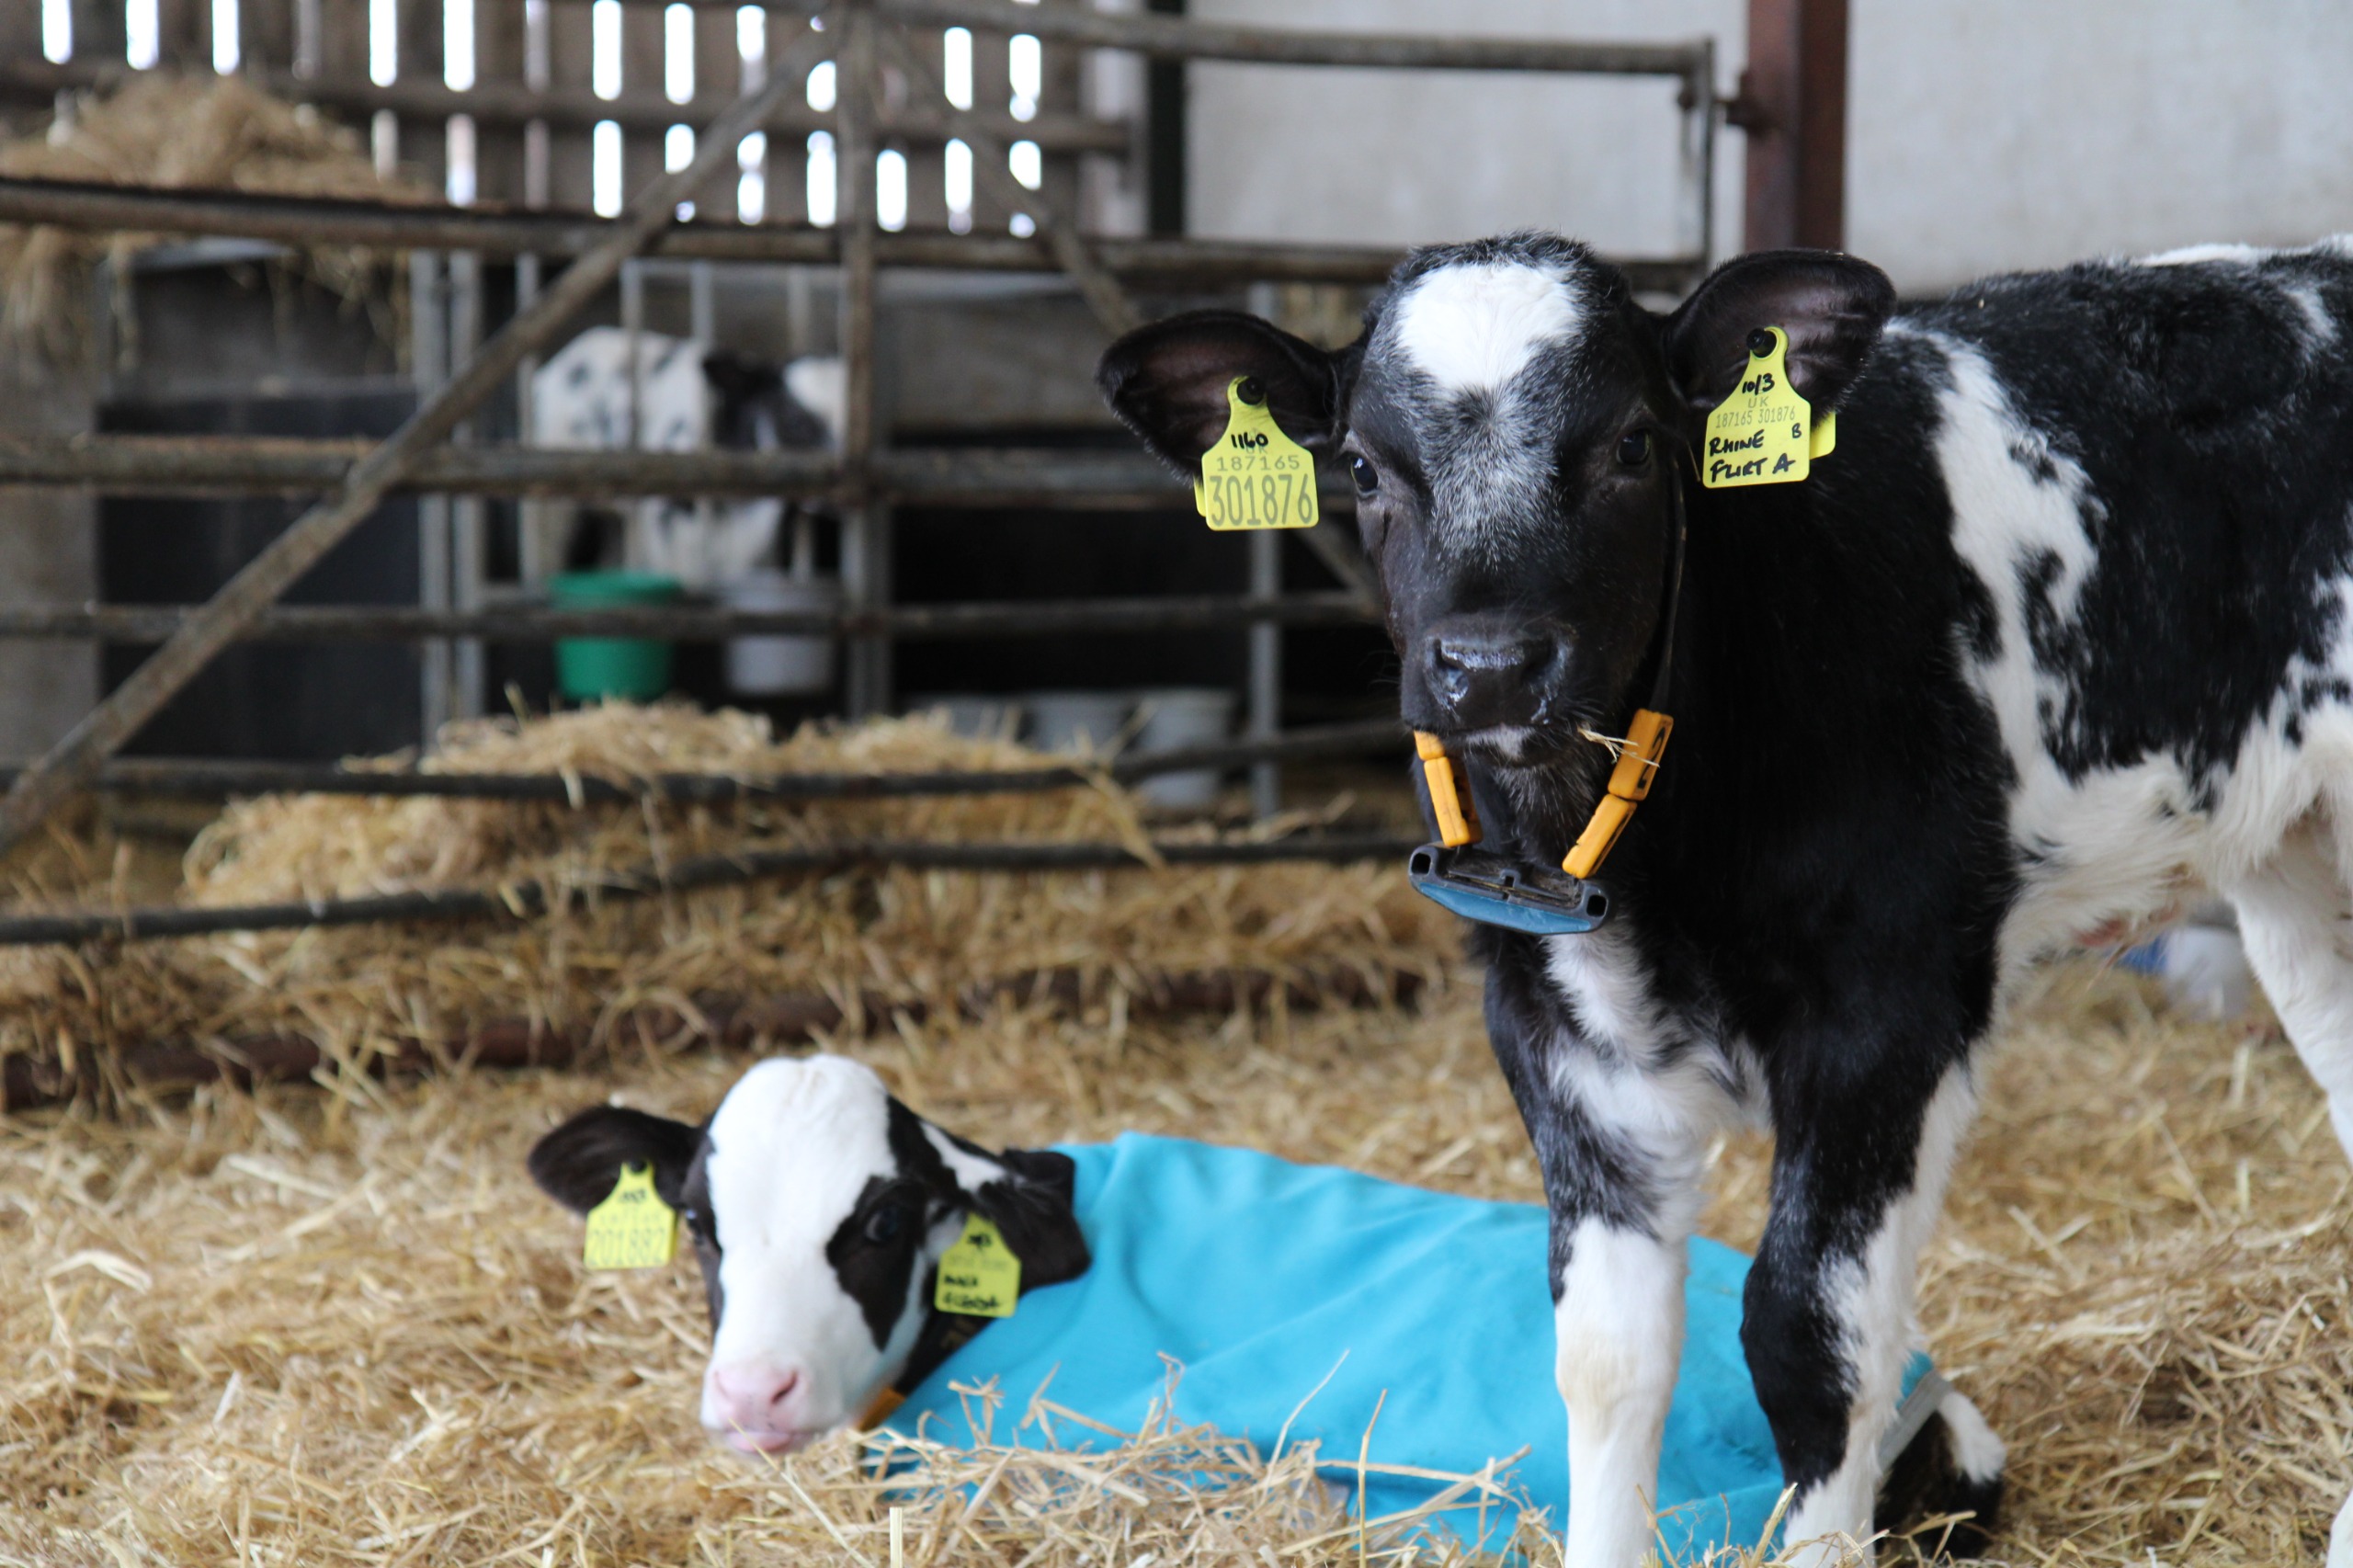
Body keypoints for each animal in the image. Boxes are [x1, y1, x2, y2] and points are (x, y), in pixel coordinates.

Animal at [1095, 230, 2353, 1566]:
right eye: (1365, 467)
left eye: (1633, 445)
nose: (1491, 666)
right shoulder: (1552, 1035)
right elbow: (1608, 1356)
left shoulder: (1888, 1012)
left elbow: (1808, 1337)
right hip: (2294, 864)